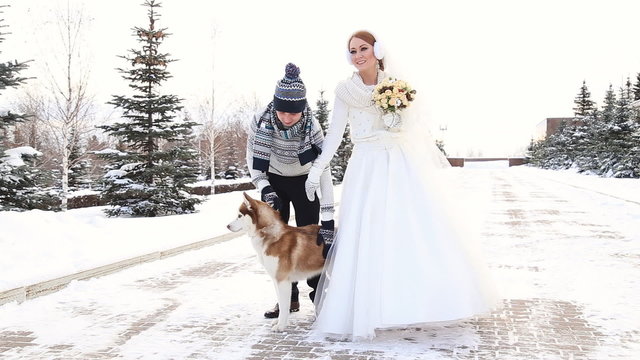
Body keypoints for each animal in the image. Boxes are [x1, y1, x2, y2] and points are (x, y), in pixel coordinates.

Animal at [226, 193, 324, 330]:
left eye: (239, 215)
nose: (227, 226)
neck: (268, 233)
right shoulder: (276, 280)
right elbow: (282, 305)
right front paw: (280, 321)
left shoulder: (282, 280)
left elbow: (284, 305)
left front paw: (280, 326)